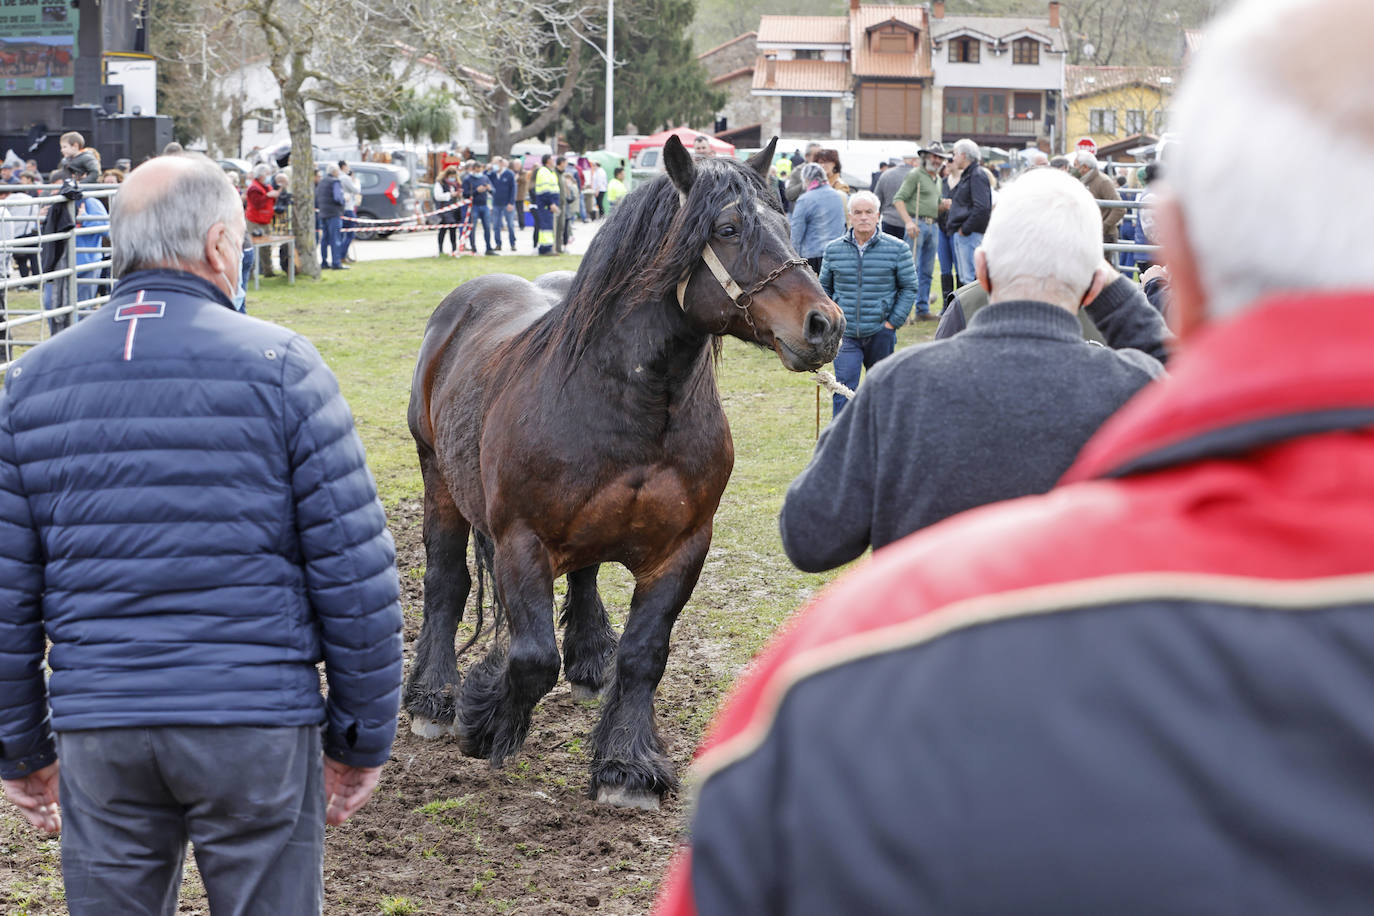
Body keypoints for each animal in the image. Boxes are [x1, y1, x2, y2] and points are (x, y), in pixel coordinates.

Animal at [401, 135, 840, 807]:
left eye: (787, 225)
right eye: (728, 229)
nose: (824, 325)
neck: (632, 407)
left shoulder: (683, 549)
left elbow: (643, 655)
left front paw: (626, 766)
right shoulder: (520, 541)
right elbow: (531, 657)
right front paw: (485, 719)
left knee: (582, 579)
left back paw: (587, 665)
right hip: (439, 483)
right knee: (447, 584)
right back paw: (433, 699)